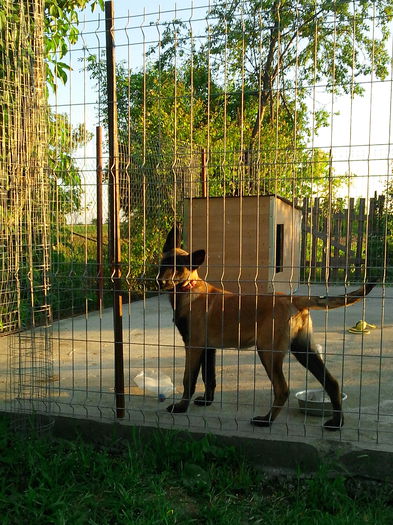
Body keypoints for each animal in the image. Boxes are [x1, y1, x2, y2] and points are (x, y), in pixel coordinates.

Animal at [157, 225, 374, 430]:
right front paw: (206, 401)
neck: (189, 288)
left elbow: (188, 379)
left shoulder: (193, 346)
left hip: (268, 352)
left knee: (282, 389)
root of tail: (293, 299)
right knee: (331, 382)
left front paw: (181, 407)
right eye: (163, 264)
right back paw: (337, 422)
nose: (161, 282)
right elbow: (209, 377)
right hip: (303, 349)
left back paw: (266, 420)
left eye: (178, 269)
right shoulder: (208, 348)